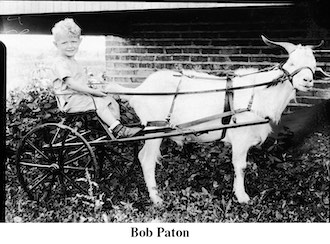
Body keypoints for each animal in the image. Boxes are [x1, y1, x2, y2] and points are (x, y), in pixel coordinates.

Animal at [106, 35, 322, 204]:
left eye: (313, 65)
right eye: (291, 63)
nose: (307, 81)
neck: (258, 92)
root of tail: (139, 90)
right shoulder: (241, 137)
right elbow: (240, 167)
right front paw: (242, 196)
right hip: (154, 130)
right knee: (146, 159)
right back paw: (156, 198)